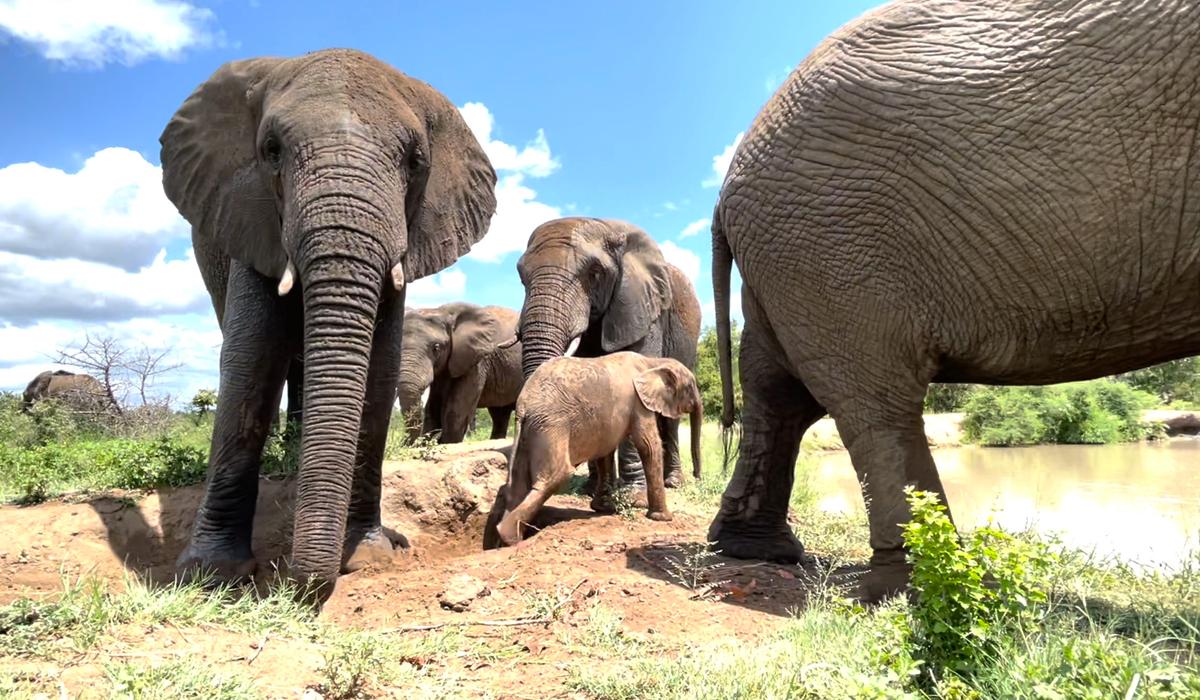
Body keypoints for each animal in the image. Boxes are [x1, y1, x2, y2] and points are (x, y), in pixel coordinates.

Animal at [159, 48, 496, 594]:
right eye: (271, 151)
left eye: (415, 162)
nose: (303, 585)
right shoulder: (250, 218)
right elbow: (250, 360)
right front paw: (211, 575)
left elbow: (378, 369)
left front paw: (370, 556)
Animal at [397, 303, 522, 443]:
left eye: (436, 348)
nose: (406, 443)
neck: (441, 311)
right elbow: (432, 407)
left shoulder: (476, 361)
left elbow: (456, 410)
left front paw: (446, 443)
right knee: (500, 415)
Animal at [483, 352, 702, 548]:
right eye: (690, 387)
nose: (697, 477)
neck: (653, 362)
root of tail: (523, 405)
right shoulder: (639, 404)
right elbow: (648, 446)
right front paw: (663, 518)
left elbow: (605, 452)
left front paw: (603, 509)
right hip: (551, 426)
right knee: (556, 476)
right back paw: (509, 536)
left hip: (529, 432)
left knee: (516, 485)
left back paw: (502, 539)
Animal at [516, 217, 701, 492]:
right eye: (521, 278)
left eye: (594, 273)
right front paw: (594, 489)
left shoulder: (642, 309)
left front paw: (632, 492)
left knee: (671, 420)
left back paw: (672, 482)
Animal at [708, 0, 1200, 601]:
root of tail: (727, 184)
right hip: (829, 242)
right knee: (873, 402)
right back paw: (925, 588)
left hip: (793, 252)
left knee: (780, 390)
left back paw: (758, 552)